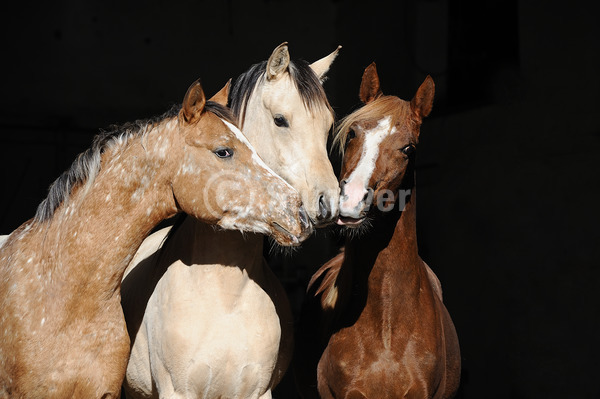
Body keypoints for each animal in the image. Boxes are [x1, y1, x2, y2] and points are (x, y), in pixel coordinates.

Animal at [120, 43, 342, 399]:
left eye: (328, 124)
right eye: (280, 120)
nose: (326, 203)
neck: (226, 296)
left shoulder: (258, 392)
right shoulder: (176, 391)